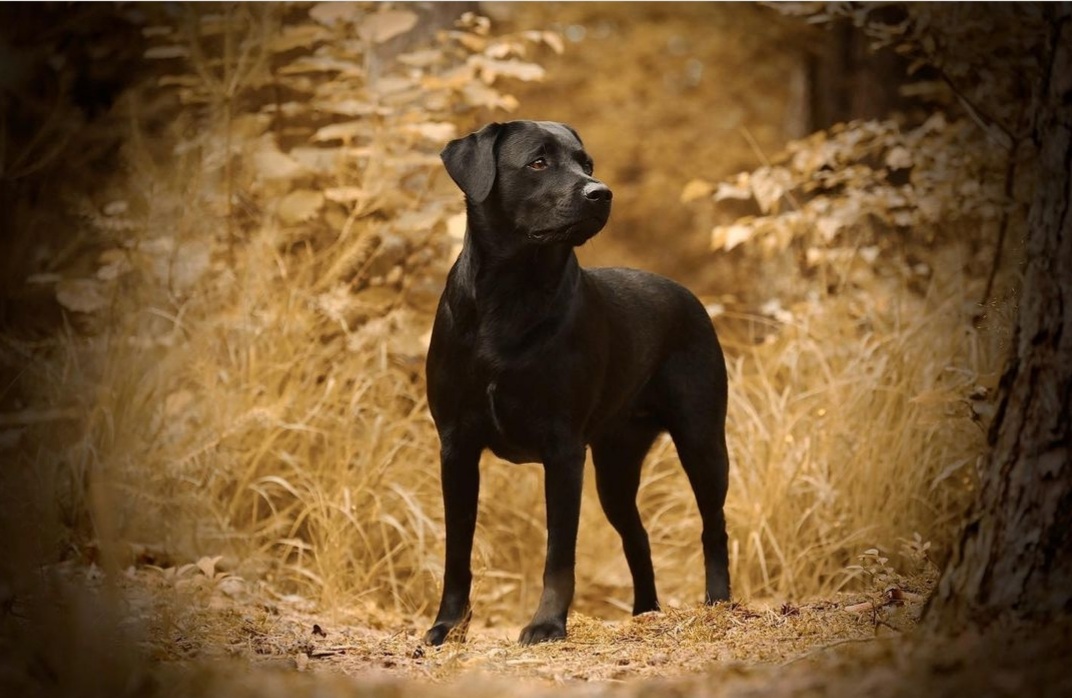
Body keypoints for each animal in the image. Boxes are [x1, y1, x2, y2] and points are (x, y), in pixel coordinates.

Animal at [422, 119, 733, 643]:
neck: (511, 294)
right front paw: (448, 625)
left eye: (586, 163)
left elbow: (559, 552)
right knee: (638, 536)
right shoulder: (456, 445)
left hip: (702, 442)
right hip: (615, 468)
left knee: (714, 526)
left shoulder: (563, 449)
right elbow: (456, 549)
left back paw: (719, 604)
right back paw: (646, 612)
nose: (600, 192)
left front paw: (546, 625)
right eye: (538, 162)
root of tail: (689, 297)